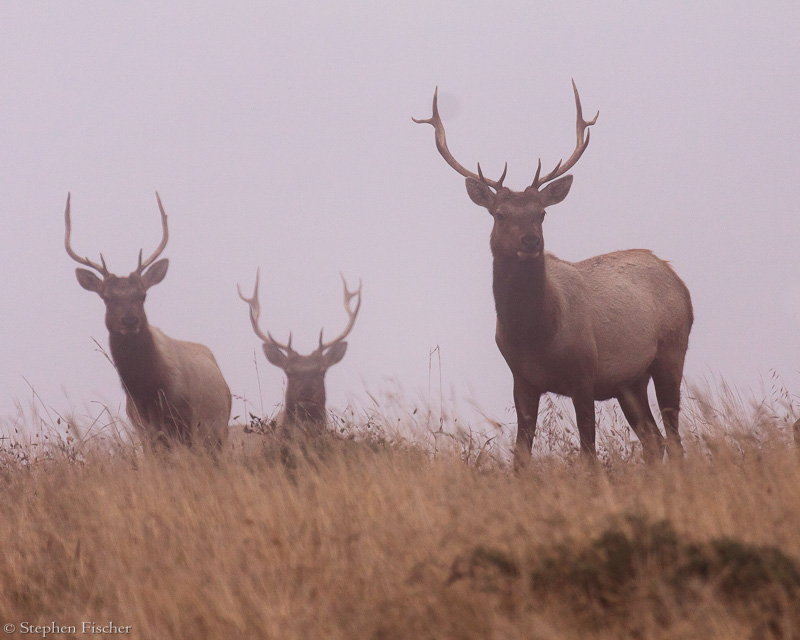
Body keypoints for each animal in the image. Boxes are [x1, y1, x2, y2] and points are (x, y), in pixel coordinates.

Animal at [65, 194, 231, 450]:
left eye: (142, 295)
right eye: (107, 298)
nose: (130, 320)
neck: (149, 393)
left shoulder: (190, 423)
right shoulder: (144, 431)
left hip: (219, 430)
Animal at [416, 82, 692, 468]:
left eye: (541, 213)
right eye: (499, 214)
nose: (531, 241)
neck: (537, 333)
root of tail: (676, 278)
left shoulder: (585, 372)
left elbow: (589, 453)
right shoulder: (521, 379)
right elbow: (521, 455)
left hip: (671, 350)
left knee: (674, 437)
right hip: (630, 381)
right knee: (654, 439)